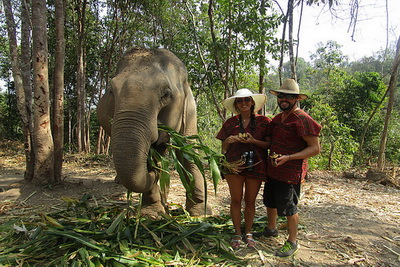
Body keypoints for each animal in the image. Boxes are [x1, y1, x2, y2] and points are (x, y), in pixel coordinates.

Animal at [97, 46, 212, 218]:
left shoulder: (190, 111)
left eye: (166, 94)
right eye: (111, 92)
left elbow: (187, 151)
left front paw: (201, 212)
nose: (155, 172)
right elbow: (148, 156)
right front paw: (152, 213)